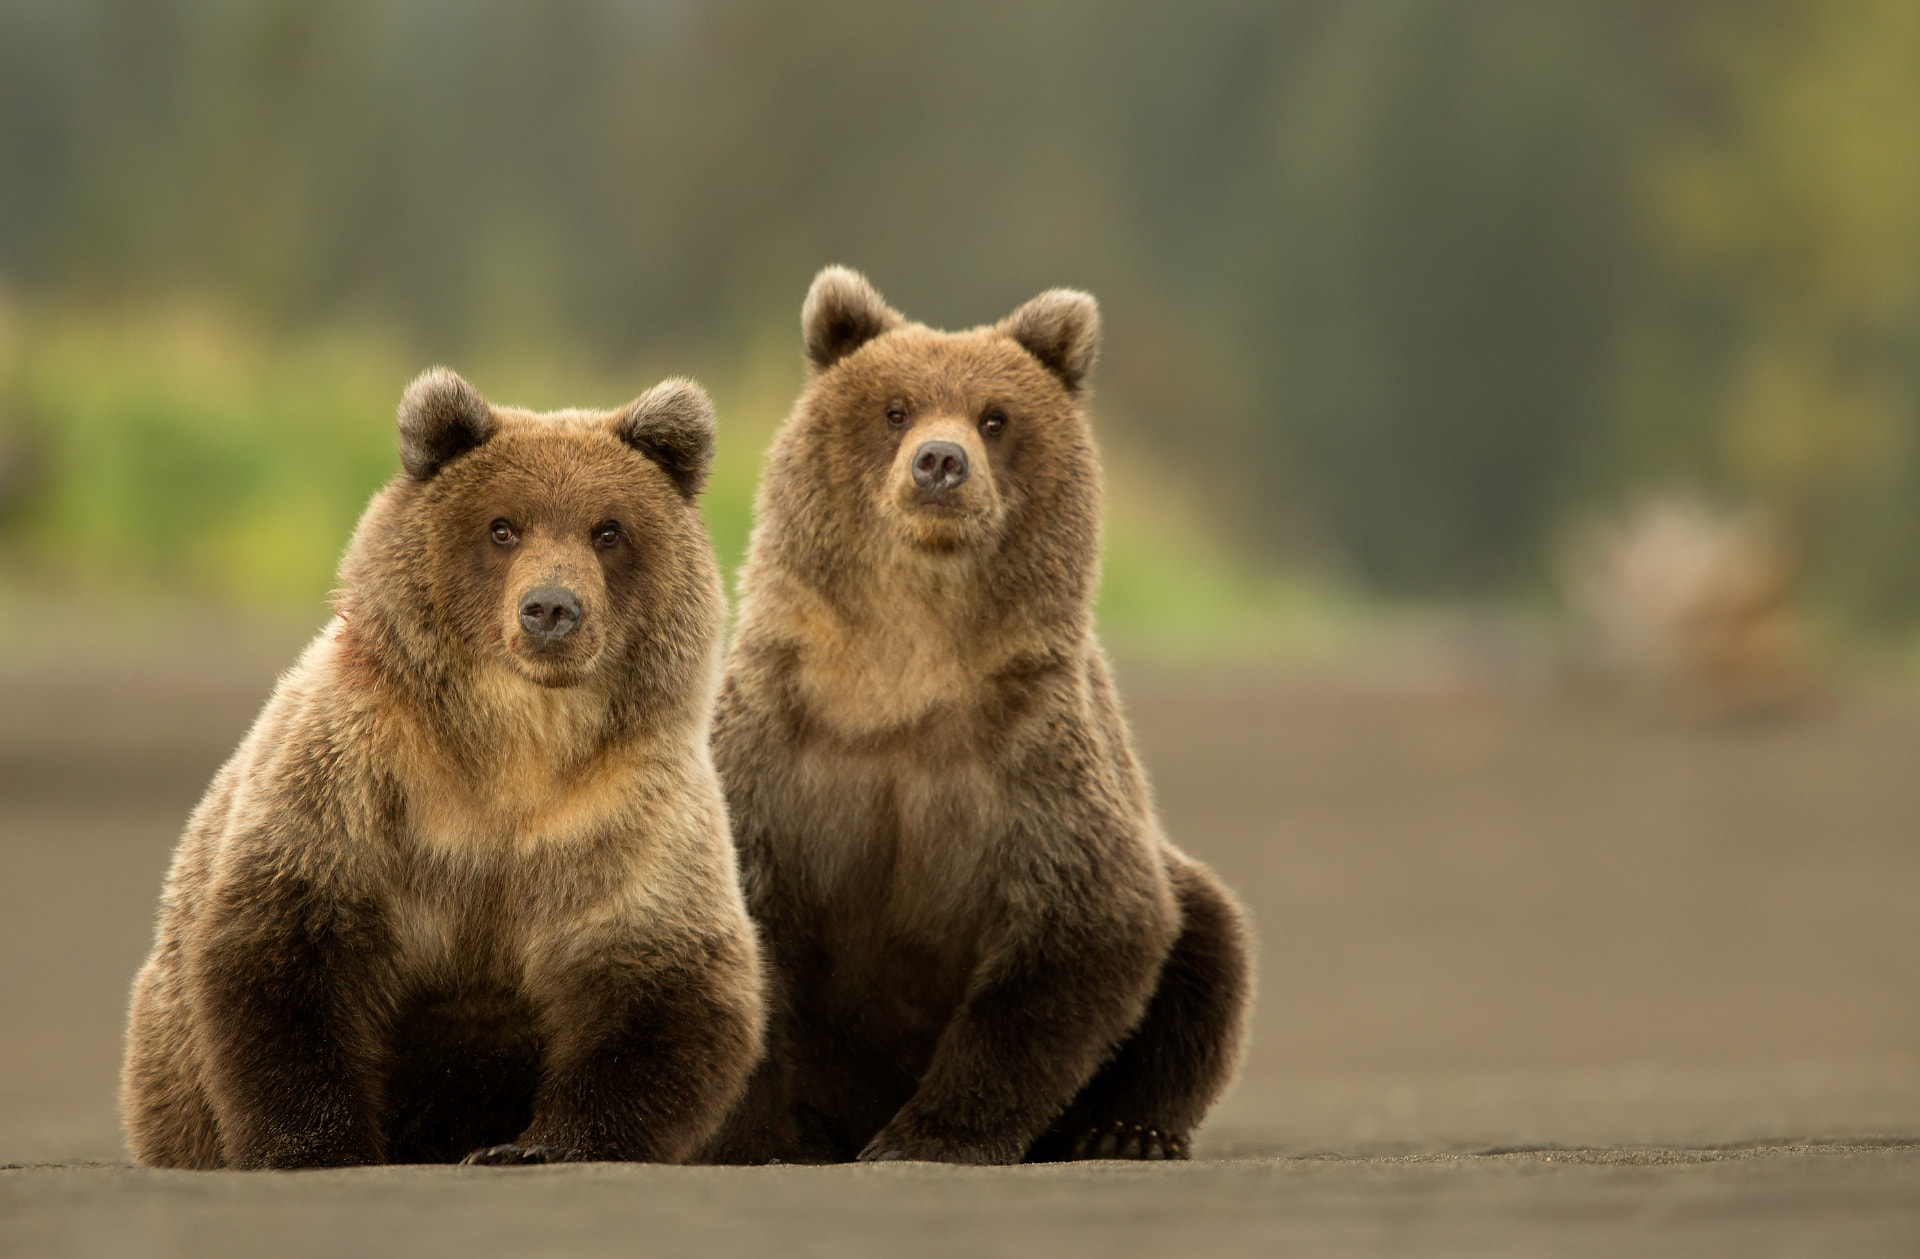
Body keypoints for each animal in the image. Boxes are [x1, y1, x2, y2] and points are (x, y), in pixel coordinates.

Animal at [121, 368, 766, 1169]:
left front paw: (535, 1146)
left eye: (608, 529)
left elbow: (662, 982)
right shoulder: (360, 777)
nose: (551, 608)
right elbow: (289, 952)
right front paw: (319, 1144)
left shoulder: (626, 814)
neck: (518, 742)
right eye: (503, 526)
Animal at [699, 267, 1253, 1165]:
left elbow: (1086, 929)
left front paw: (926, 1135)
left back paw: (1126, 1130)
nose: (940, 460)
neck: (906, 669)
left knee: (1209, 942)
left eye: (996, 416)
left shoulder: (1031, 757)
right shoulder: (780, 750)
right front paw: (750, 1135)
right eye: (895, 408)